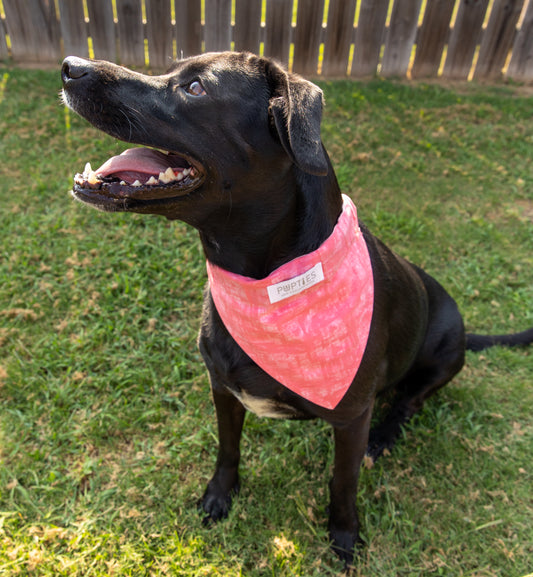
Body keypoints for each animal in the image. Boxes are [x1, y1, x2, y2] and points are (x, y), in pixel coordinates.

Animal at [61, 51, 528, 564]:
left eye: (196, 88)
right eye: (171, 67)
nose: (71, 65)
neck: (264, 285)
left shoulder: (351, 418)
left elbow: (343, 481)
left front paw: (344, 536)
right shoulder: (223, 389)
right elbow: (227, 449)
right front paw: (219, 496)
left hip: (444, 356)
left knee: (409, 401)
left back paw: (384, 436)